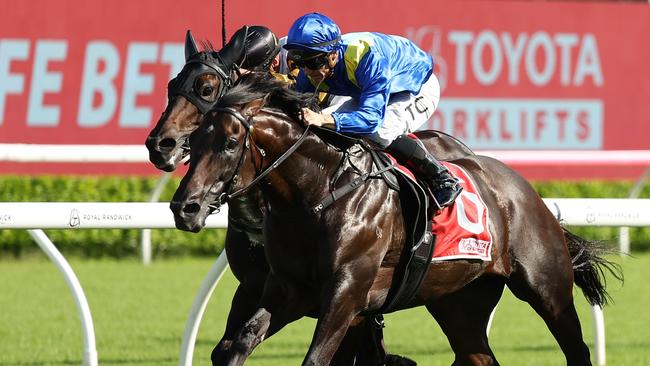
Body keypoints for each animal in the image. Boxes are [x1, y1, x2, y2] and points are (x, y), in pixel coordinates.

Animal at [147, 30, 474, 364]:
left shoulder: (344, 296)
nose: (159, 145)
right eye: (172, 85)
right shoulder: (256, 288)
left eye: (206, 88)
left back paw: (445, 183)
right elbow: (225, 347)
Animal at [170, 73, 620, 364]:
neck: (317, 193)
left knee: (577, 349)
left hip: (547, 288)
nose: (184, 207)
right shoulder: (289, 289)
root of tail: (526, 191)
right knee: (479, 355)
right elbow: (236, 344)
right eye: (195, 141)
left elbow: (316, 358)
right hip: (459, 302)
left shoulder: (347, 292)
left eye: (230, 143)